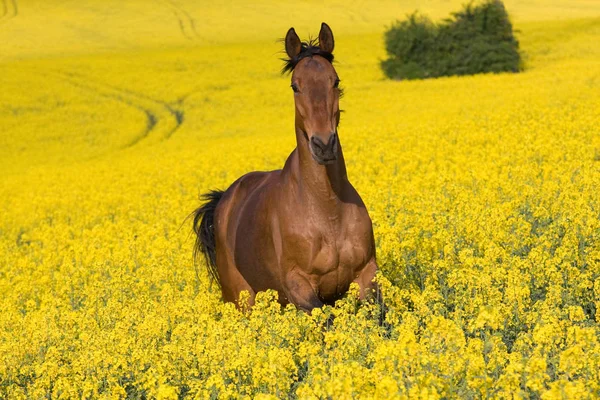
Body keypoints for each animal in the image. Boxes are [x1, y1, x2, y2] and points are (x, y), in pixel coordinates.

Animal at [193, 22, 380, 312]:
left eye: (335, 81)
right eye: (295, 86)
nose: (323, 145)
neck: (327, 208)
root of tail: (225, 198)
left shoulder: (366, 274)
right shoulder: (298, 285)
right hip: (242, 298)